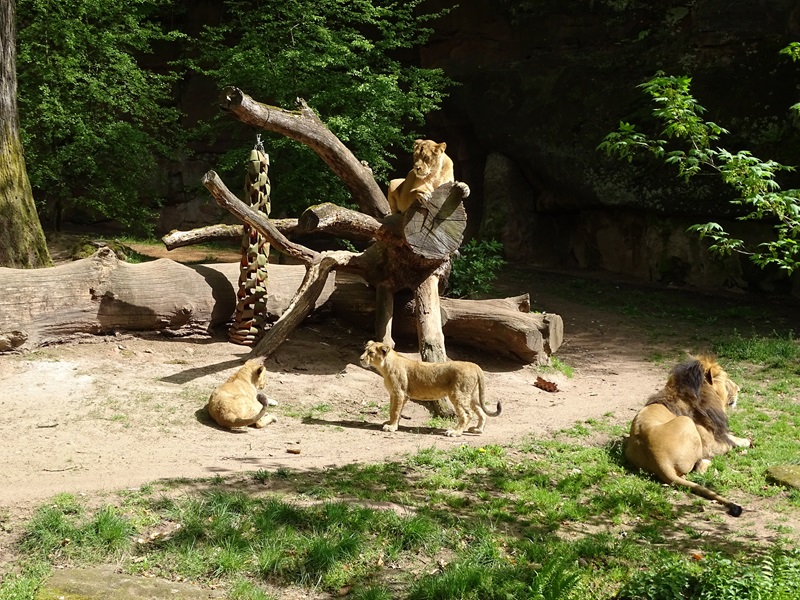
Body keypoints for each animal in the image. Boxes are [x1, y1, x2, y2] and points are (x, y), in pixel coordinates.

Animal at [359, 340, 501, 436]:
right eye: (365, 350)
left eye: (370, 352)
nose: (360, 359)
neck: (384, 366)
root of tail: (474, 365)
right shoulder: (395, 394)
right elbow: (393, 410)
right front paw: (391, 423)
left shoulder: (400, 393)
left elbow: (394, 410)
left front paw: (391, 427)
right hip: (470, 396)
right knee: (481, 412)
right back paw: (478, 429)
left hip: (457, 394)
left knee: (467, 414)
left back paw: (455, 432)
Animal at [624, 356, 752, 516]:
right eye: (727, 379)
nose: (739, 389)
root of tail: (659, 461)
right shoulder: (711, 443)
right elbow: (729, 441)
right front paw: (746, 442)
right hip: (687, 422)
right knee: (698, 468)